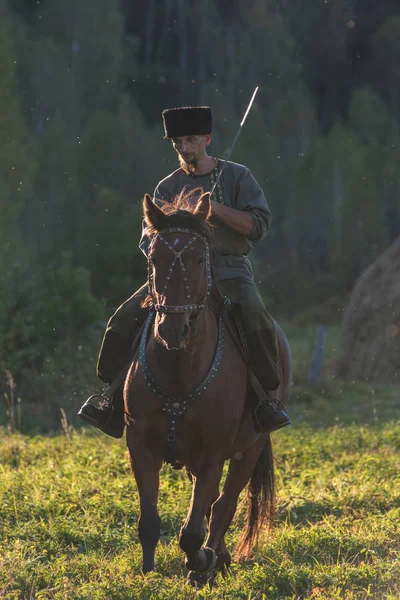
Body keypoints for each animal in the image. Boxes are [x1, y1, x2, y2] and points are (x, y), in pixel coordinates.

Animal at [124, 191, 290, 580]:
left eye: (200, 259)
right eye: (154, 258)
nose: (172, 330)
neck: (179, 370)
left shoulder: (213, 453)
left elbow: (194, 529)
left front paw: (199, 563)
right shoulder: (140, 445)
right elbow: (149, 521)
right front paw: (149, 571)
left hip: (251, 448)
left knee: (224, 505)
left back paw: (214, 560)